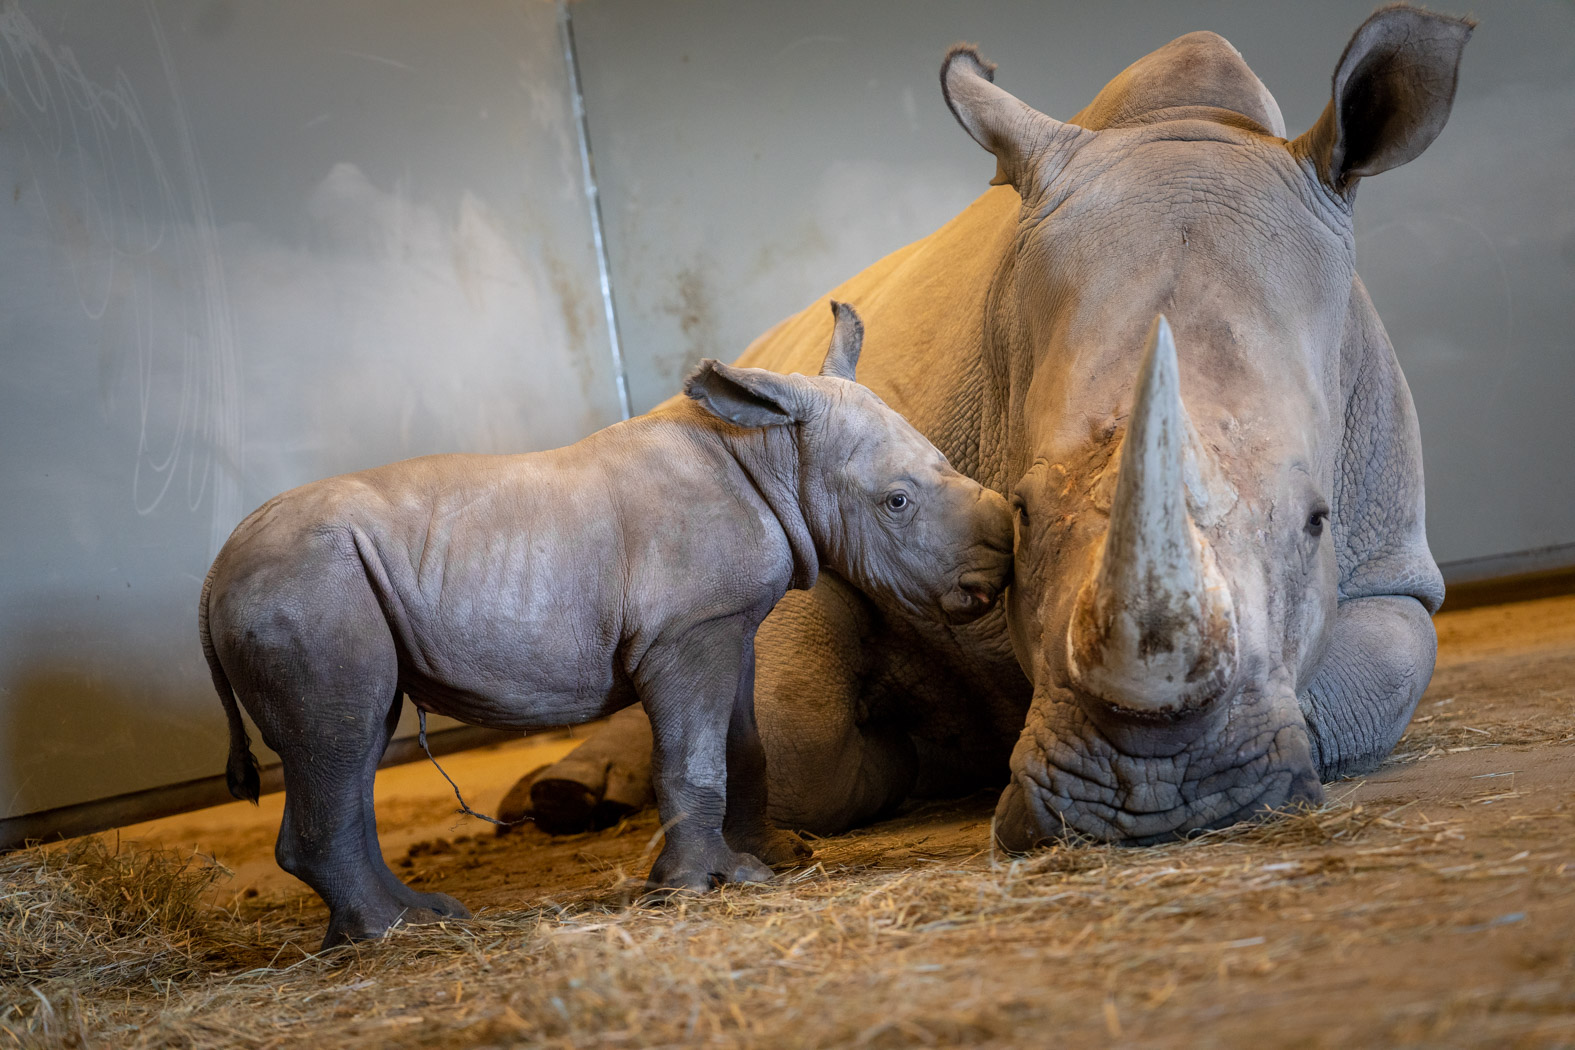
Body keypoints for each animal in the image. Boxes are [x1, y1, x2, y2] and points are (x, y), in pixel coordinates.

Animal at [199, 302, 1013, 946]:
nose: (1000, 566)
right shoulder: (685, 633)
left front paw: (770, 862)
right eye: (896, 502)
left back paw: (425, 916)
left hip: (308, 589)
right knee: (344, 735)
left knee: (353, 743)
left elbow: (743, 746)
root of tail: (211, 579)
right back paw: (392, 933)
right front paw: (697, 887)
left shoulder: (721, 624)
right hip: (306, 591)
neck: (773, 453)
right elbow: (693, 756)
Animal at [507, 5, 1470, 848]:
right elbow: (795, 729)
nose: (1148, 795)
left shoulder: (1394, 575)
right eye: (1020, 515)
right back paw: (560, 799)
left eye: (1316, 524)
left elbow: (1370, 677)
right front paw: (916, 748)